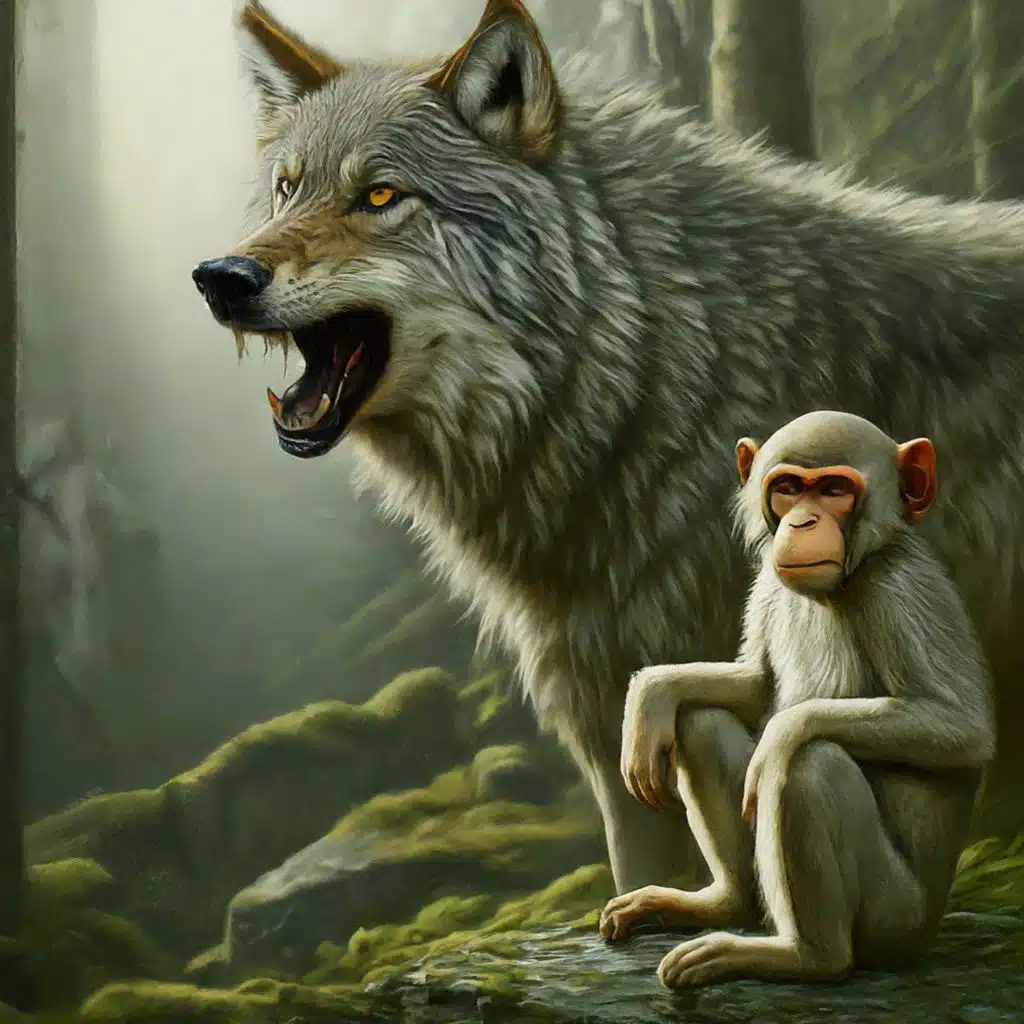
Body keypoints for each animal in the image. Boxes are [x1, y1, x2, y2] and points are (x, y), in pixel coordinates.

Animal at [598, 410, 996, 989]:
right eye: (787, 488)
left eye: (833, 490)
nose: (803, 522)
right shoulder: (767, 582)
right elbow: (757, 682)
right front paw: (653, 691)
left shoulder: (903, 594)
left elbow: (963, 729)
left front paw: (785, 731)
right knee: (699, 721)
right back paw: (724, 904)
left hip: (896, 919)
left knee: (808, 766)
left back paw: (806, 955)